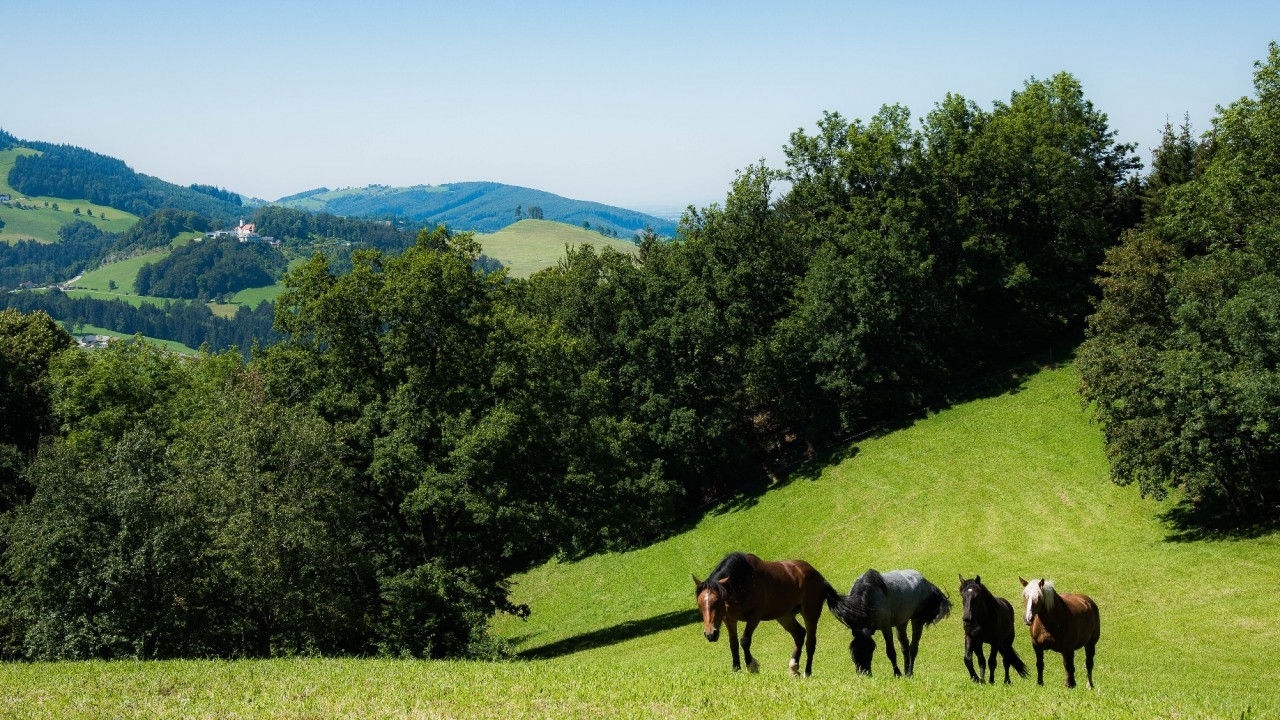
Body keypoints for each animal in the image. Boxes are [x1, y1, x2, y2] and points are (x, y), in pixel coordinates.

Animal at [696, 550, 844, 676]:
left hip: (810, 614)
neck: (742, 580)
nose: (710, 634)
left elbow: (745, 640)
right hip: (785, 617)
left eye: (718, 601)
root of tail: (819, 577)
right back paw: (793, 668)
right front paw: (736, 669)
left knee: (810, 643)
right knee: (799, 634)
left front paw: (752, 666)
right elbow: (733, 643)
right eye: (700, 604)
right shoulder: (729, 619)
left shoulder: (754, 617)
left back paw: (807, 673)